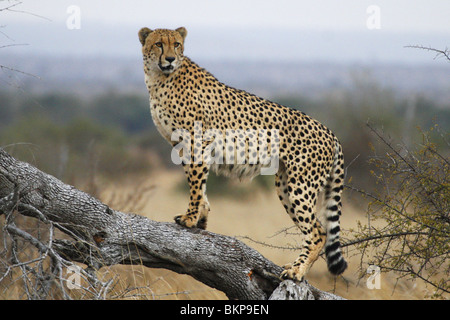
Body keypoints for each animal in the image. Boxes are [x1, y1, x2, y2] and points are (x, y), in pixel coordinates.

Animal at [139, 26, 346, 280]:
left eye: (176, 44)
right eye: (158, 44)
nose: (169, 59)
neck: (159, 78)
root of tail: (330, 131)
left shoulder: (197, 141)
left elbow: (196, 184)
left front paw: (190, 218)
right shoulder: (184, 144)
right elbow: (200, 184)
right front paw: (201, 217)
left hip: (301, 184)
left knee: (318, 232)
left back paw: (297, 271)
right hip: (285, 184)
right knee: (318, 228)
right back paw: (297, 267)